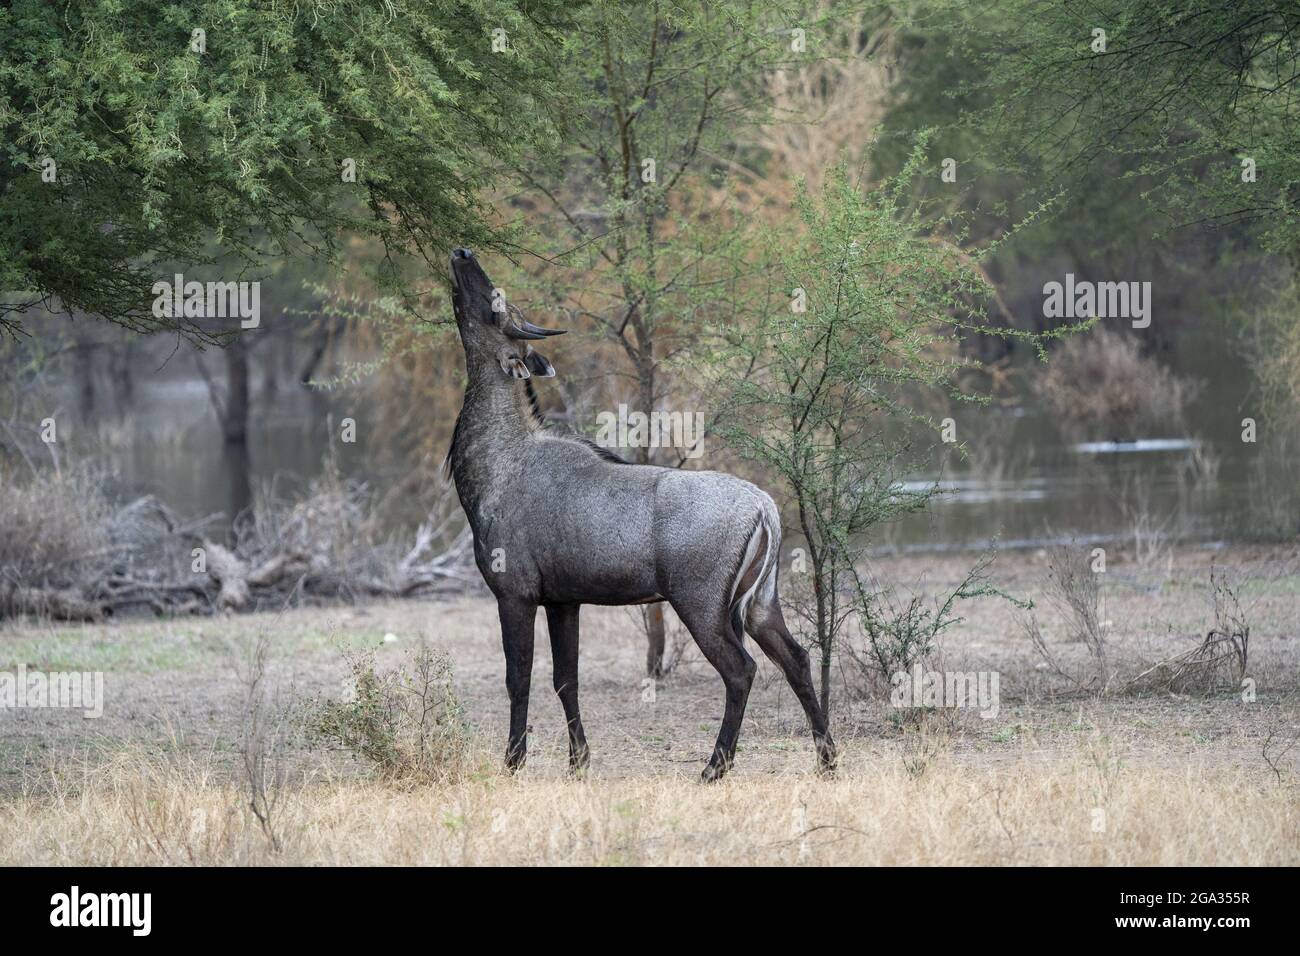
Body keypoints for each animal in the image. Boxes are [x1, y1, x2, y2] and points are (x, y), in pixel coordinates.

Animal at [447, 251, 832, 780]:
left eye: (496, 306)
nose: (463, 253)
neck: (498, 462)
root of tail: (766, 509)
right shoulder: (564, 600)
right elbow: (566, 679)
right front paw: (578, 763)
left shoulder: (515, 593)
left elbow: (518, 677)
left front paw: (513, 762)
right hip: (761, 603)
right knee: (796, 659)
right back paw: (827, 760)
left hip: (701, 604)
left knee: (742, 670)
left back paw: (714, 768)